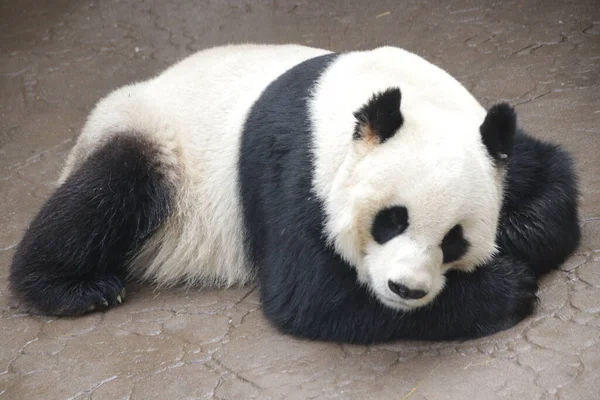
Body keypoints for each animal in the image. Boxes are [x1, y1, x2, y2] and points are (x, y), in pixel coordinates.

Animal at [10, 43, 580, 344]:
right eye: (390, 220)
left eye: (454, 240)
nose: (405, 290)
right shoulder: (293, 167)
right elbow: (308, 294)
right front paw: (507, 288)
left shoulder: (486, 135)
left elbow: (554, 186)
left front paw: (516, 238)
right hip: (158, 144)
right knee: (105, 194)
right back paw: (75, 288)